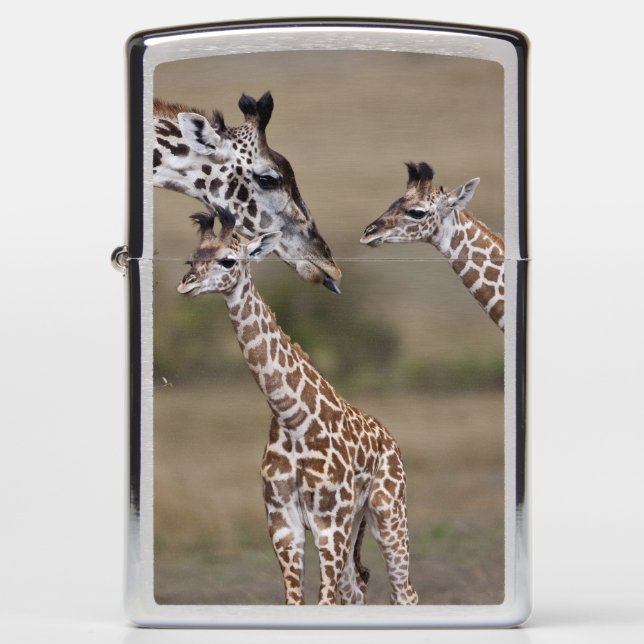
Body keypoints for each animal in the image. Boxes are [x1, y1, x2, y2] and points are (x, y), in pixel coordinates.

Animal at [177, 206, 418, 606]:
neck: (293, 418)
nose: (186, 284)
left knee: (405, 592)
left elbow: (324, 602)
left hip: (387, 511)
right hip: (357, 523)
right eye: (191, 257)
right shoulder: (282, 524)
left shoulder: (330, 524)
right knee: (357, 589)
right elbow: (296, 601)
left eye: (228, 260)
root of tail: (390, 438)